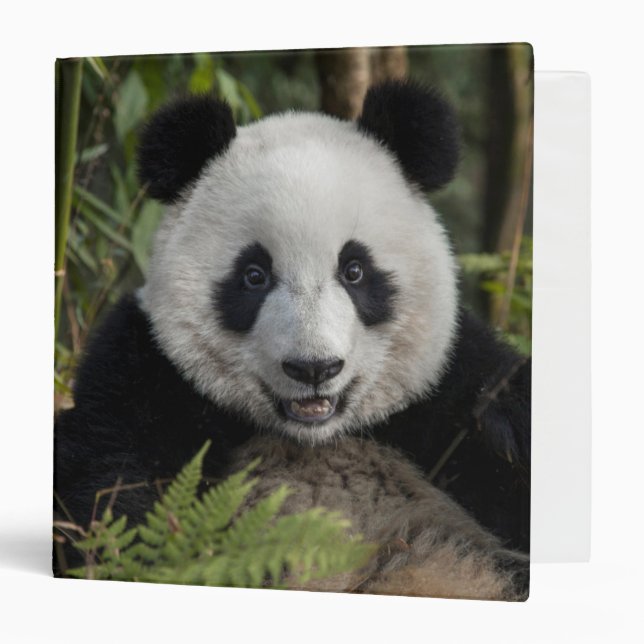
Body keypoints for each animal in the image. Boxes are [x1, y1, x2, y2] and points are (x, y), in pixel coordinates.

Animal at [55, 80, 531, 601]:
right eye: (254, 275)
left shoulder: (442, 385)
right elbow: (110, 492)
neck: (314, 437)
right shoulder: (145, 373)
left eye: (354, 269)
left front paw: (499, 429)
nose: (314, 368)